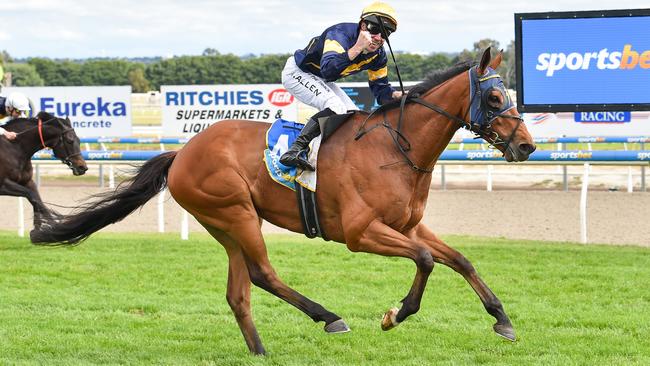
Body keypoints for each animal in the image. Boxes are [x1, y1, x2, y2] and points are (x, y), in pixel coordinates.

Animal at [30, 49, 536, 354]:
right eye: (495, 96)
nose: (528, 146)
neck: (396, 148)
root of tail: (183, 152)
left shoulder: (407, 226)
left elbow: (460, 259)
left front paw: (502, 320)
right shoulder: (361, 233)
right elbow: (428, 261)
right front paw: (395, 315)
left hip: (228, 223)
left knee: (239, 292)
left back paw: (260, 350)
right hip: (233, 211)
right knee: (262, 275)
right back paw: (329, 317)